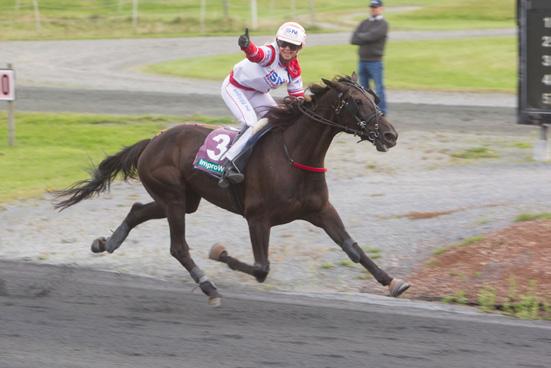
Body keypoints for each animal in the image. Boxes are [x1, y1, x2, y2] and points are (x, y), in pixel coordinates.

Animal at [55, 74, 410, 304]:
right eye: (356, 102)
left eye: (374, 98)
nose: (390, 135)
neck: (294, 155)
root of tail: (152, 141)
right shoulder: (258, 218)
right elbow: (261, 268)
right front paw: (220, 253)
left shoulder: (320, 210)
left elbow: (353, 248)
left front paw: (392, 281)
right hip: (173, 198)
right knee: (178, 248)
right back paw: (209, 287)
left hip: (184, 199)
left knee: (137, 209)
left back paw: (107, 242)